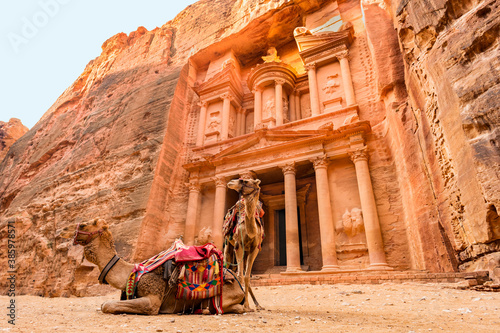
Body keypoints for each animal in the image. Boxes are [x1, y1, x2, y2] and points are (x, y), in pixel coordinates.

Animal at [68, 218, 244, 314]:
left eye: (83, 225)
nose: (70, 233)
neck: (132, 272)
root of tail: (240, 284)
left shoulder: (153, 299)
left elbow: (107, 305)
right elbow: (105, 304)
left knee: (234, 308)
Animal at [224, 178, 264, 310]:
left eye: (245, 181)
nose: (231, 182)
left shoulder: (254, 249)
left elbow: (247, 276)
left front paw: (248, 304)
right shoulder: (238, 245)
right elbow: (240, 275)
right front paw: (244, 305)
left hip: (246, 252)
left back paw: (257, 304)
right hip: (228, 243)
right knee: (227, 262)